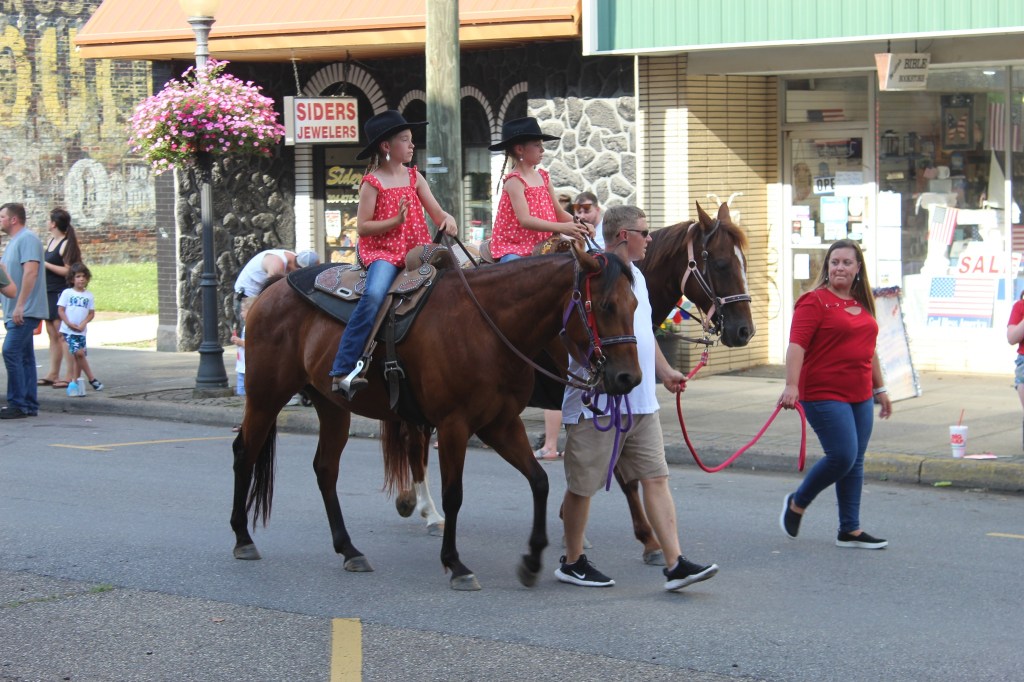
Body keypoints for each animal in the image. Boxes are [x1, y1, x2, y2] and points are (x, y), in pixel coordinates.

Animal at [230, 242, 642, 590]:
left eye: (636, 304)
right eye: (606, 305)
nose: (630, 378)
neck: (488, 326)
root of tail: (272, 289)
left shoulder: (500, 424)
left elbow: (540, 481)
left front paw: (532, 559)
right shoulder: (454, 425)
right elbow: (454, 494)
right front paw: (455, 563)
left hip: (332, 407)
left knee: (325, 469)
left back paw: (349, 550)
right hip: (266, 397)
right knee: (244, 453)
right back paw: (242, 537)